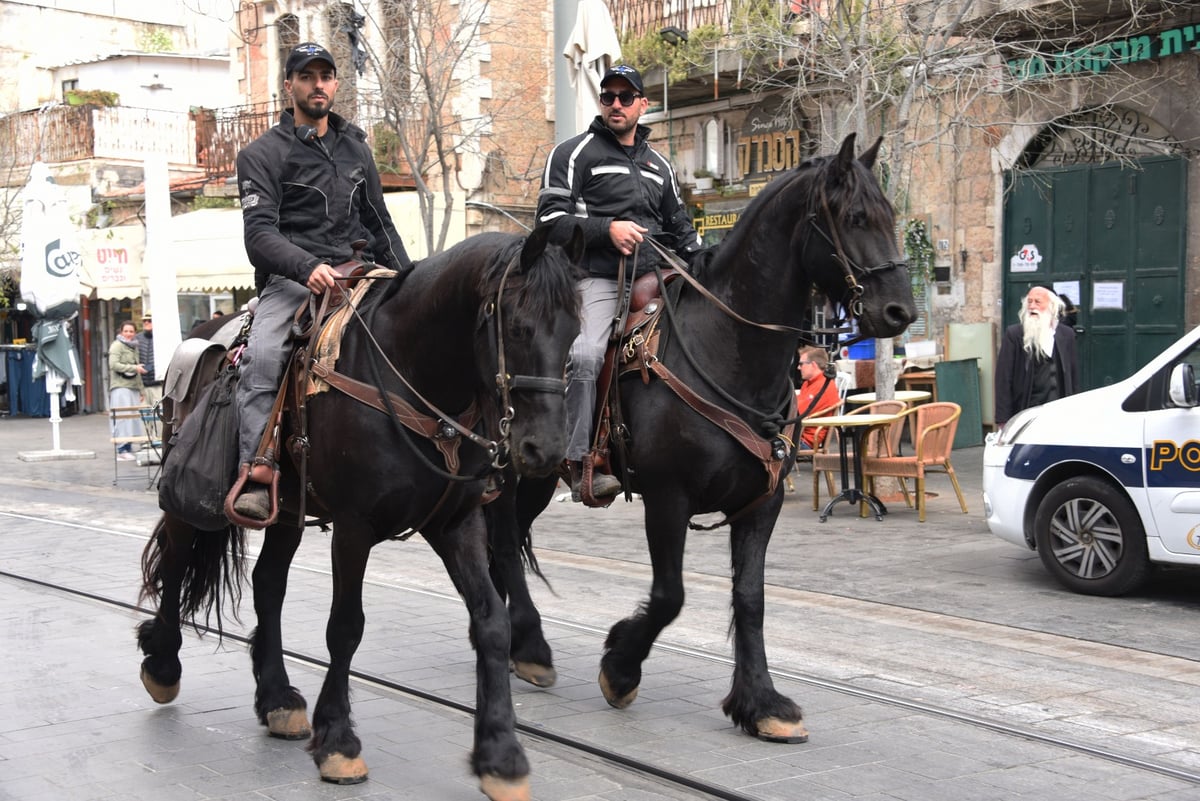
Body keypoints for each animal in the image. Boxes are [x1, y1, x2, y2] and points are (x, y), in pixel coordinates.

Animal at [138, 226, 583, 801]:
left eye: (574, 331)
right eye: (518, 326)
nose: (543, 450)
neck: (411, 371)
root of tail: (206, 331)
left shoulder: (456, 523)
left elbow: (491, 623)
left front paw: (501, 755)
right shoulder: (354, 527)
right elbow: (345, 627)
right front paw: (338, 742)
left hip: (286, 510)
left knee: (268, 583)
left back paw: (276, 697)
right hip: (187, 497)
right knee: (175, 563)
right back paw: (163, 664)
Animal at [482, 136, 912, 743]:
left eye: (891, 215)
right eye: (853, 218)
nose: (900, 310)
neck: (727, 349)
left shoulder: (763, 502)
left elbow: (750, 598)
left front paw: (761, 704)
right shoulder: (667, 497)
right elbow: (670, 595)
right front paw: (620, 667)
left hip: (539, 476)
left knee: (512, 542)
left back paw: (522, 643)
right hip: (513, 467)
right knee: (502, 542)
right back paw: (528, 646)